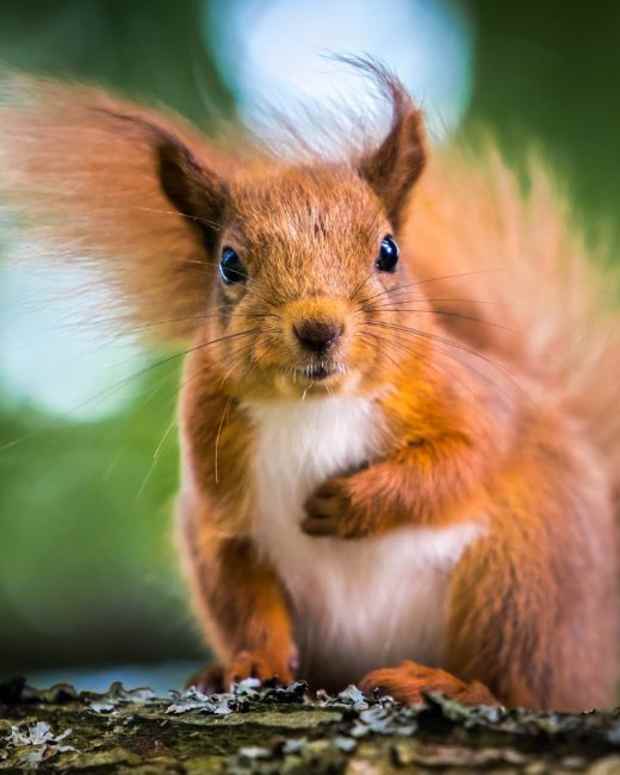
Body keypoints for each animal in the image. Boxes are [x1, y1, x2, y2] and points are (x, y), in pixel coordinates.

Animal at [1, 60, 619, 711]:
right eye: (229, 263)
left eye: (389, 251)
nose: (319, 328)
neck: (314, 407)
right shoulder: (220, 495)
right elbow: (245, 590)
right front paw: (253, 663)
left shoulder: (478, 403)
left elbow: (465, 459)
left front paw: (349, 504)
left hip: (522, 578)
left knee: (520, 685)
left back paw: (442, 683)